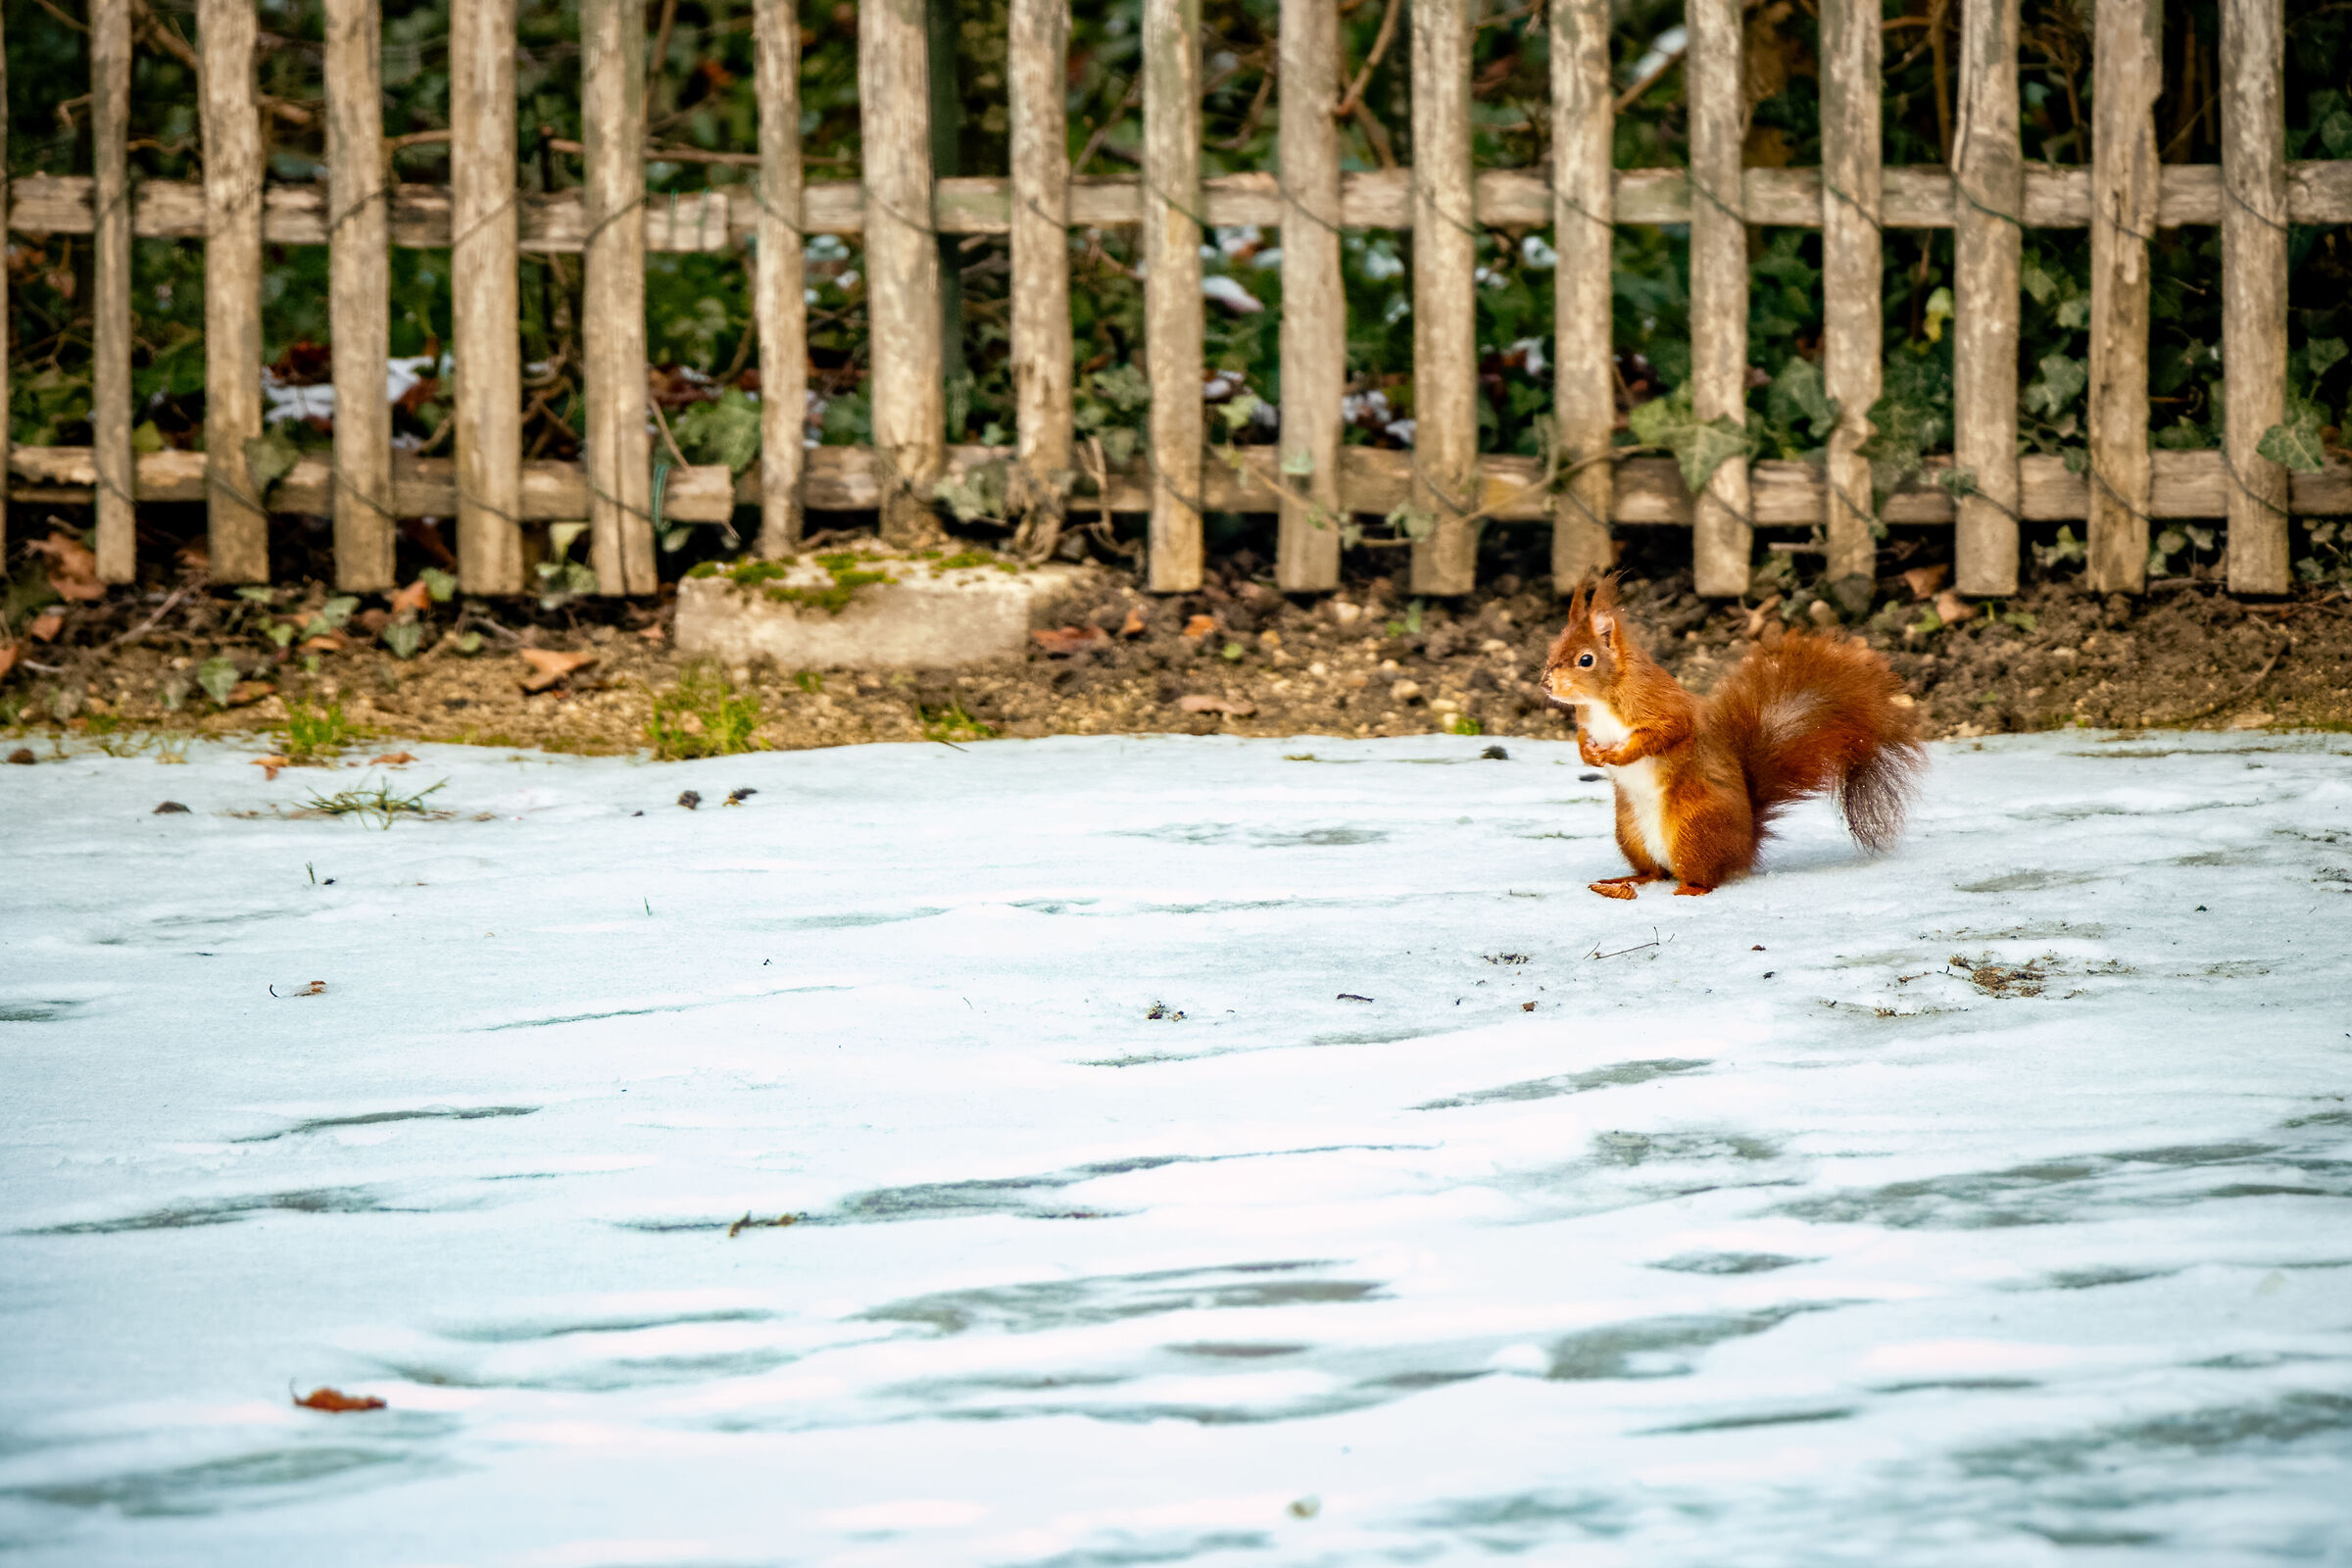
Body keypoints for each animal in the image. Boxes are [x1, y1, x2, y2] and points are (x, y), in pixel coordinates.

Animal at [1540, 575, 1925, 900]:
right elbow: (1582, 737)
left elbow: (1664, 733)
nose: (1545, 684)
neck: (1603, 699)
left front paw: (1617, 755)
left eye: (1586, 660)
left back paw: (1689, 889)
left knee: (1706, 878)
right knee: (1655, 873)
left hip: (1692, 830)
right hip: (1630, 832)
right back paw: (1625, 880)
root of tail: (1744, 848)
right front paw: (1589, 754)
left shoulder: (1664, 710)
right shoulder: (1588, 724)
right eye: (1551, 651)